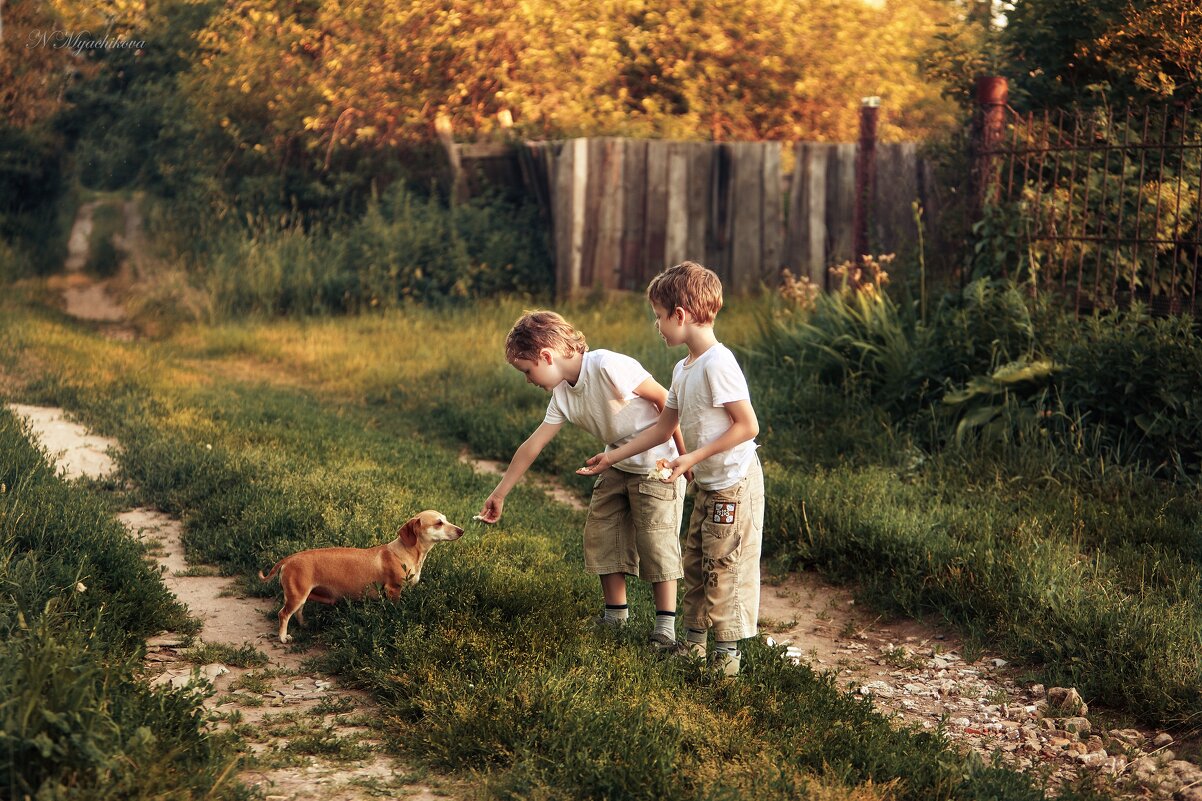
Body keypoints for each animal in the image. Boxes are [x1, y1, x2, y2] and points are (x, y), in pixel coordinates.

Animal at [256, 507, 461, 639]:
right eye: (439, 523)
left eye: (446, 519)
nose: (462, 530)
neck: (405, 551)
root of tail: (288, 559)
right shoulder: (393, 590)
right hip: (296, 595)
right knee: (283, 614)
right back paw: (283, 638)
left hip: (301, 596)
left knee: (298, 611)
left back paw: (304, 625)